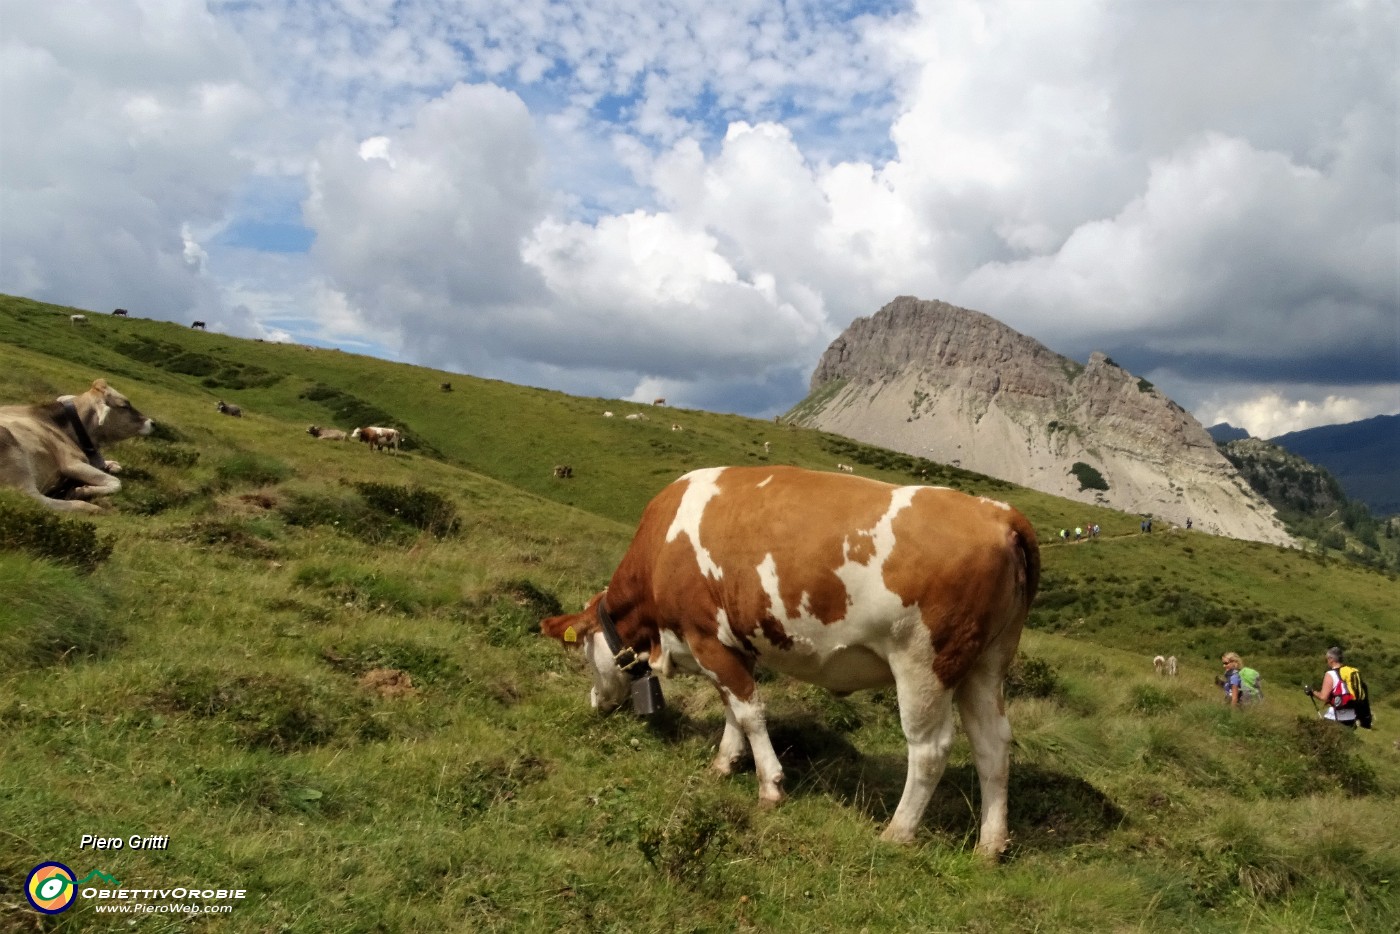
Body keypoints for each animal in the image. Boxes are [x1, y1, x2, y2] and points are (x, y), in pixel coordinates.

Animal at [0, 378, 156, 515]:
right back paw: (89, 507)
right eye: (124, 406)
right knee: (31, 497)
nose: (153, 423)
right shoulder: (72, 463)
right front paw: (81, 490)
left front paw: (112, 465)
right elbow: (116, 482)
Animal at [540, 464, 1047, 856]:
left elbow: (749, 712)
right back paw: (990, 845)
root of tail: (996, 512)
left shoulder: (706, 636)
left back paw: (897, 832)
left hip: (924, 664)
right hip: (987, 663)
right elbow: (732, 709)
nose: (595, 704)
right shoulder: (732, 646)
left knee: (929, 749)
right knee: (992, 744)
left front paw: (770, 785)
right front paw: (724, 763)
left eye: (584, 655)